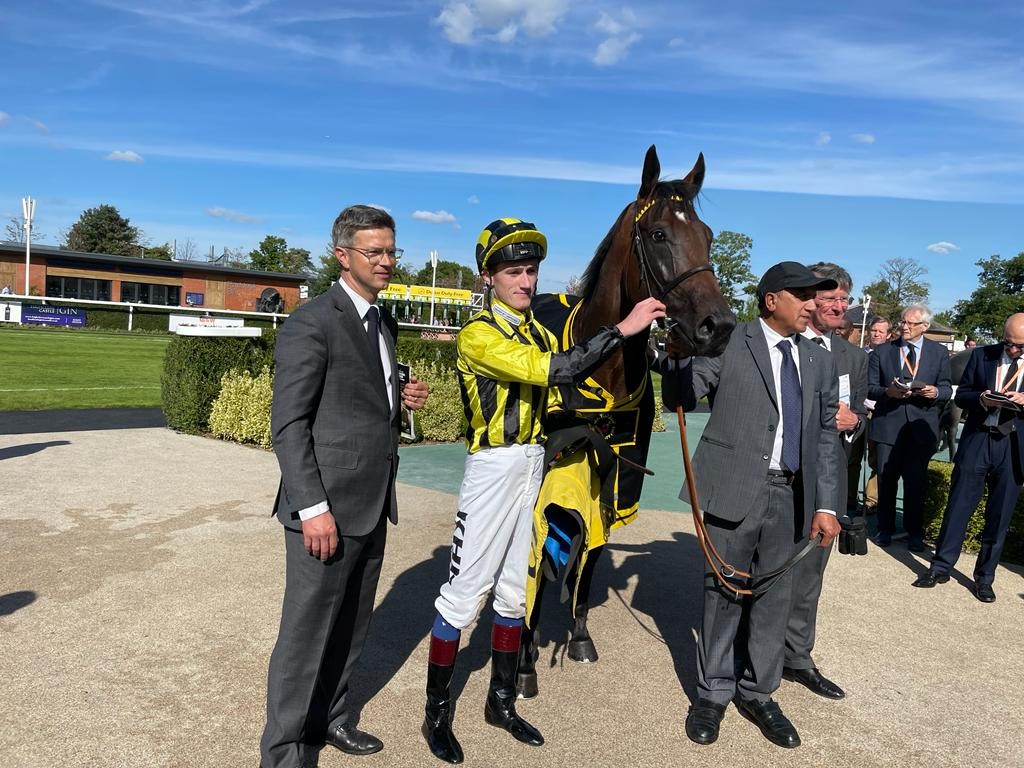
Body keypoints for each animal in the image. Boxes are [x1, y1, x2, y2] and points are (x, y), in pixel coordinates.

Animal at [520, 143, 737, 696]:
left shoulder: (616, 470)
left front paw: (578, 635)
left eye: (708, 236)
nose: (720, 326)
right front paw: (525, 656)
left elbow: (592, 553)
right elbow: (538, 549)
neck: (603, 367)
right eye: (658, 234)